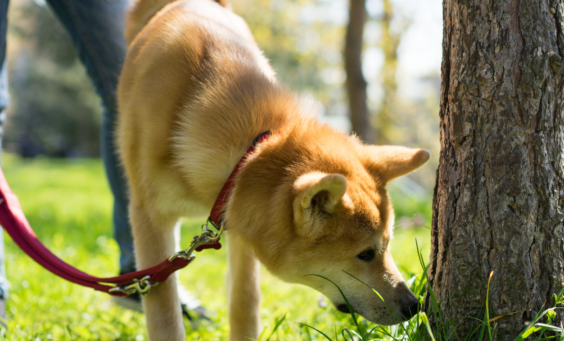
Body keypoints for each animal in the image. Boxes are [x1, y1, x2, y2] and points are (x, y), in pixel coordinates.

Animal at [117, 0, 430, 338]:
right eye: (366, 254)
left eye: (387, 245)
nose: (414, 305)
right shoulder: (151, 220)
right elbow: (164, 313)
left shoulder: (236, 217)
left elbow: (244, 301)